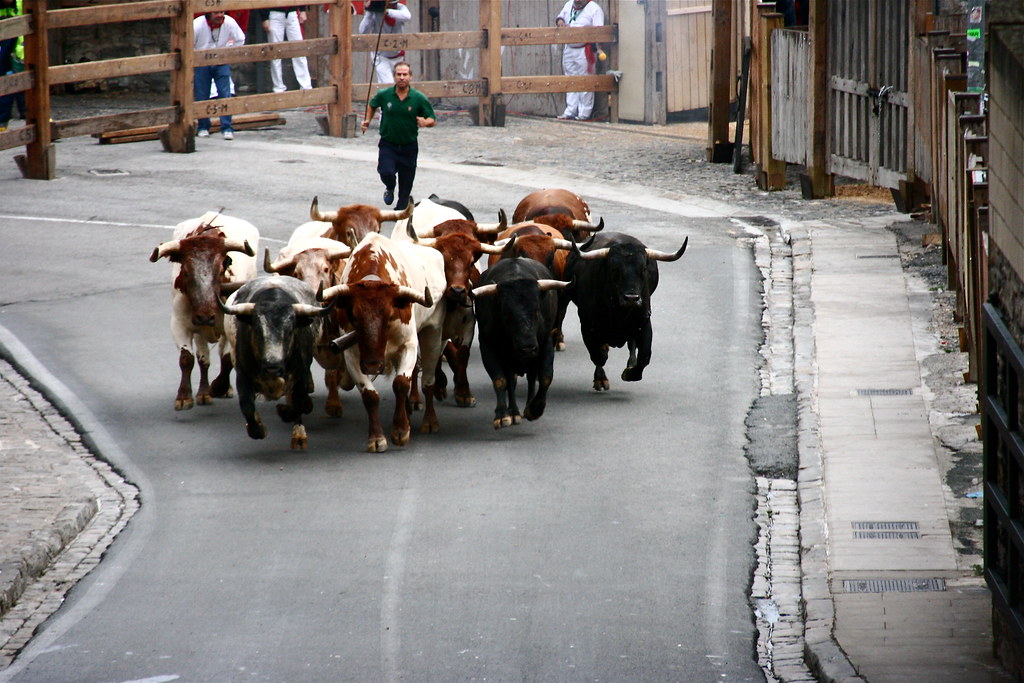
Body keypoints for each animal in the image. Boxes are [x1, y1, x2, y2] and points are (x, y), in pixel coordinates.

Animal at [565, 231, 692, 387]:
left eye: (643, 269)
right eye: (614, 269)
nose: (632, 298)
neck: (619, 313)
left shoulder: (643, 322)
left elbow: (644, 356)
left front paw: (630, 373)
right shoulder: (587, 325)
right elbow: (598, 355)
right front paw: (601, 374)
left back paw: (630, 363)